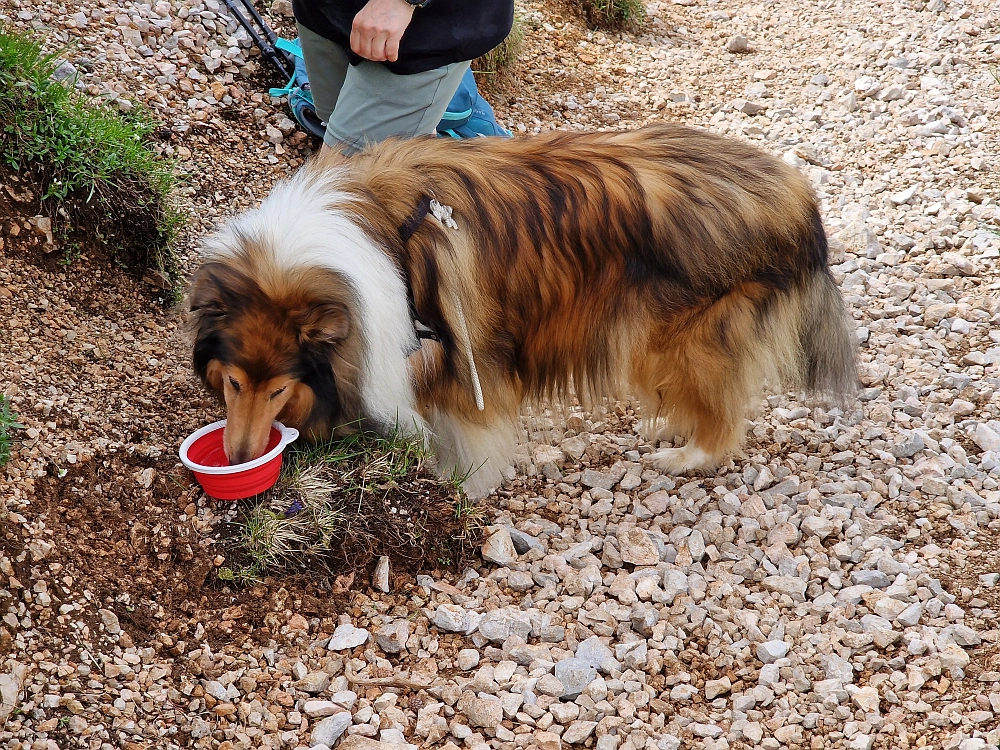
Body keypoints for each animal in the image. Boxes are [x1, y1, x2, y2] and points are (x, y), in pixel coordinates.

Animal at [191, 125, 856, 500]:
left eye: (278, 389)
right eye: (232, 383)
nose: (238, 458)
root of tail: (799, 197)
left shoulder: (456, 356)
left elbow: (466, 433)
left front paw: (459, 489)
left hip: (680, 336)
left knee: (725, 414)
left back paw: (687, 454)